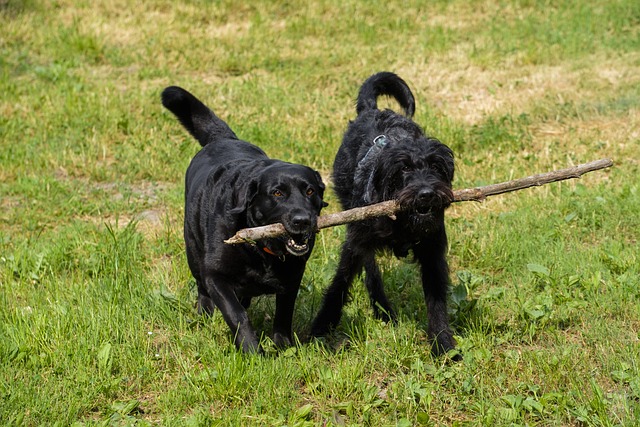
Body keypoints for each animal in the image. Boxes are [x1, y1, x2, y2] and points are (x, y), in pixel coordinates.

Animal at [162, 86, 328, 354]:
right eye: (277, 193)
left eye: (310, 191)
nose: (303, 220)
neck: (262, 250)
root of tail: (223, 138)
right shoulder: (215, 276)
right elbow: (237, 314)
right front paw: (252, 351)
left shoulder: (293, 276)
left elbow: (284, 314)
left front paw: (283, 347)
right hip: (193, 251)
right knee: (202, 289)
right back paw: (204, 314)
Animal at [312, 71, 458, 358]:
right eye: (403, 169)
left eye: (436, 167)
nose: (426, 194)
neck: (402, 223)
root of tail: (372, 109)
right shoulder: (355, 241)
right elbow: (340, 282)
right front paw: (321, 325)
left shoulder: (432, 250)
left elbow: (437, 301)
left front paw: (443, 344)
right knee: (370, 268)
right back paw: (382, 307)